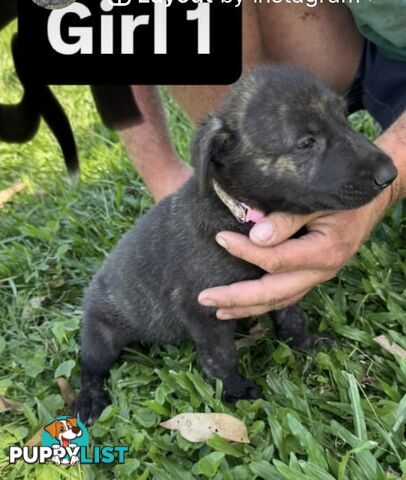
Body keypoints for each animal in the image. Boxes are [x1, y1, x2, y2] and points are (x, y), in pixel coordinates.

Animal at [75, 65, 396, 422]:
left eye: (344, 117)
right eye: (306, 143)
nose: (390, 174)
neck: (240, 212)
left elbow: (292, 316)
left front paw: (305, 343)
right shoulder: (202, 310)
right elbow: (220, 356)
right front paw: (235, 391)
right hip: (100, 335)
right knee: (89, 367)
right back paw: (90, 399)